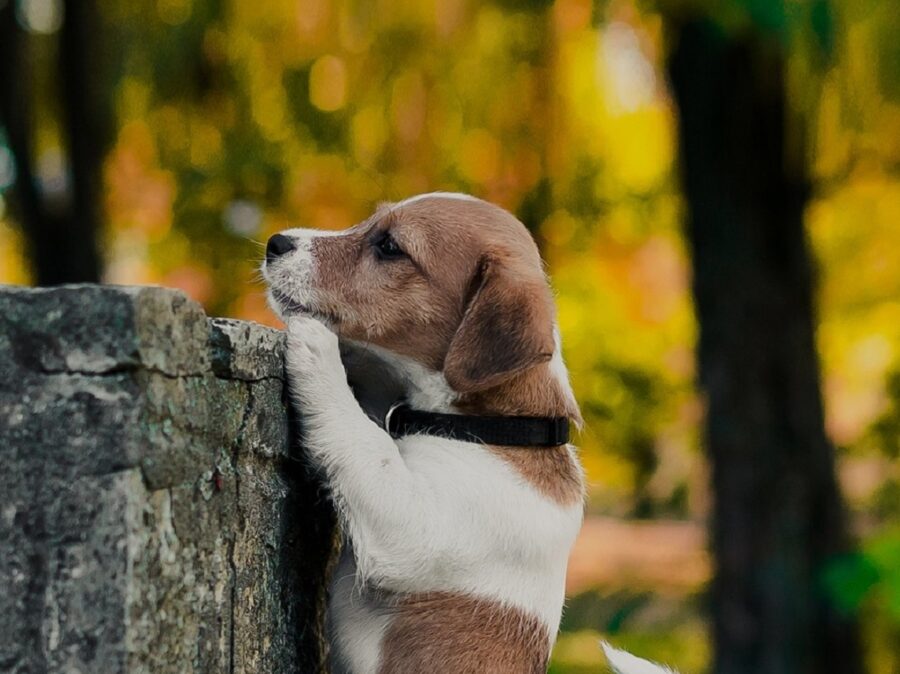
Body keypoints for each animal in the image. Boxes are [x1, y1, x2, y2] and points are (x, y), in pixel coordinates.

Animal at [264, 190, 672, 672]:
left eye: (390, 247)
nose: (275, 242)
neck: (489, 428)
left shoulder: (412, 523)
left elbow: (364, 440)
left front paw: (316, 345)